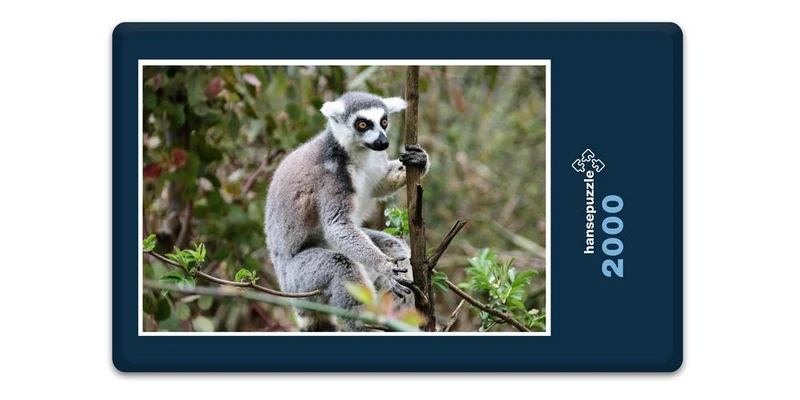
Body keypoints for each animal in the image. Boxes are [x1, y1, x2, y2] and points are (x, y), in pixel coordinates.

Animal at [264, 91, 429, 332]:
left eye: (384, 122)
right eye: (362, 124)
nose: (383, 142)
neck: (355, 153)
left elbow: (380, 184)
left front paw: (420, 160)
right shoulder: (331, 176)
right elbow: (338, 226)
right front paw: (384, 266)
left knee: (395, 247)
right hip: (300, 280)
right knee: (340, 265)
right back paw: (367, 325)